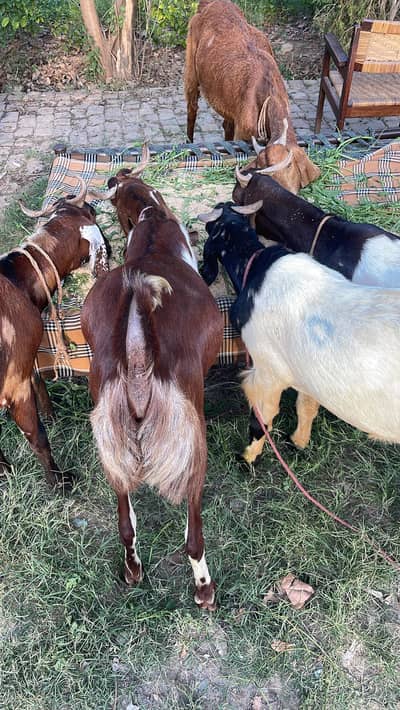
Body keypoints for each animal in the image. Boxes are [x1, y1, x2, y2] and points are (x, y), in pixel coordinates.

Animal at [81, 204, 223, 609]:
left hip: (111, 440)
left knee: (125, 520)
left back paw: (133, 569)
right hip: (189, 437)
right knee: (193, 533)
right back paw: (204, 589)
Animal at [199, 201, 400, 462]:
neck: (258, 270)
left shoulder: (268, 372)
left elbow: (261, 419)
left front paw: (248, 457)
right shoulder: (308, 372)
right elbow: (306, 407)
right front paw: (299, 441)